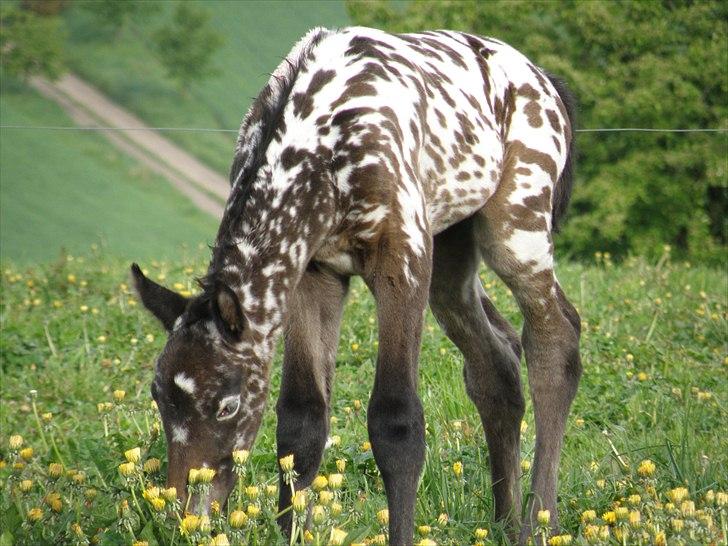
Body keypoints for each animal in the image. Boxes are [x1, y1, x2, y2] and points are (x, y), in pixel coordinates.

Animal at [132, 26, 580, 544]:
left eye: (227, 406)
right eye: (158, 398)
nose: (187, 514)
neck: (323, 148)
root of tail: (546, 81)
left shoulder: (403, 259)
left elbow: (397, 420)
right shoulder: (312, 273)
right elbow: (301, 422)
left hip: (513, 230)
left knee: (556, 339)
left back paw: (540, 522)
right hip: (451, 258)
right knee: (497, 363)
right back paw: (505, 522)